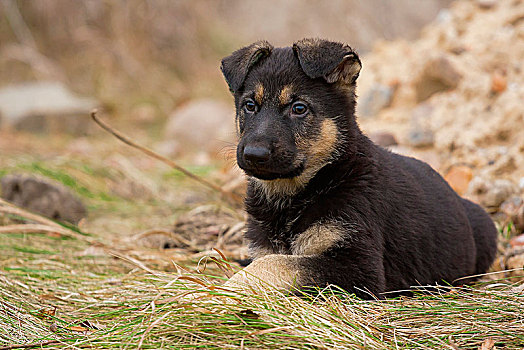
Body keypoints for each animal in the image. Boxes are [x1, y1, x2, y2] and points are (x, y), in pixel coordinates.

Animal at [219, 39, 498, 300]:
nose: (254, 154)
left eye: (299, 108)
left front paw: (224, 291)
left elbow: (278, 264)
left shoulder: (360, 269)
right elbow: (271, 259)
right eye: (250, 106)